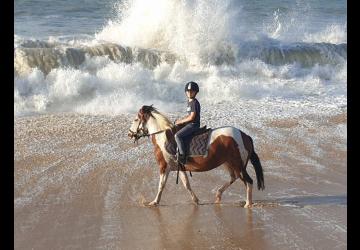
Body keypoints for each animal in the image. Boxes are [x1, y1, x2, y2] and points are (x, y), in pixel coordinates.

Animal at [127, 105, 264, 207]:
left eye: (135, 119)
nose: (129, 134)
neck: (163, 138)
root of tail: (244, 135)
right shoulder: (180, 167)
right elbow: (186, 184)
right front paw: (196, 200)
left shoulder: (164, 167)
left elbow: (161, 185)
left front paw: (154, 202)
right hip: (228, 163)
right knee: (234, 177)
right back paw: (218, 195)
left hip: (237, 164)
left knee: (248, 181)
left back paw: (248, 204)